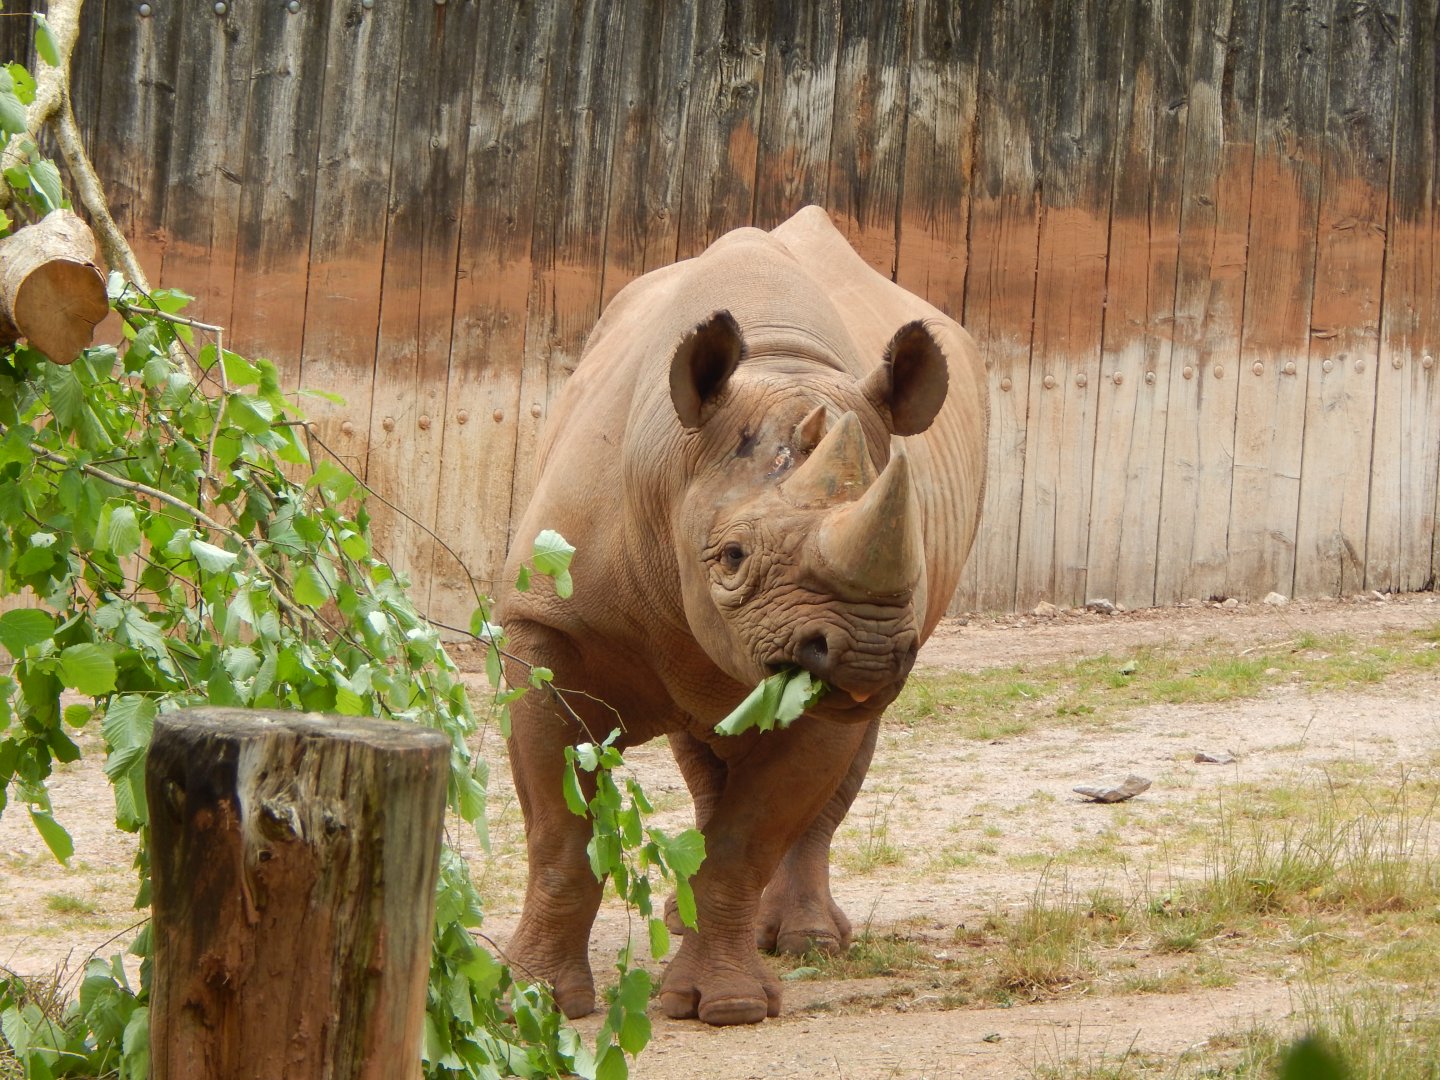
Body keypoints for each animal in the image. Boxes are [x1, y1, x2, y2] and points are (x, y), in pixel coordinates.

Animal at [497, 205, 987, 1026]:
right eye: (729, 557)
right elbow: (557, 831)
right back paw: (677, 916)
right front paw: (533, 1002)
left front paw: (724, 1008)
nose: (863, 654)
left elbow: (749, 840)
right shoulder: (546, 624)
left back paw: (808, 940)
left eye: (916, 559)